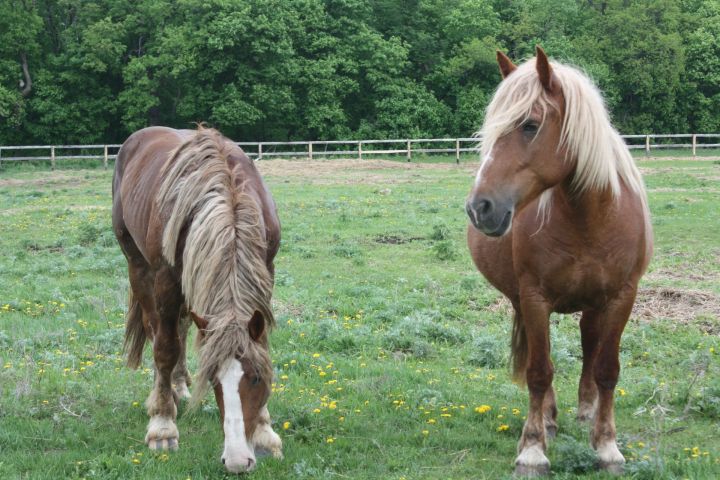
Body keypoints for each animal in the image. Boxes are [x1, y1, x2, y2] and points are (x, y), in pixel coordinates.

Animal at [111, 125, 282, 474]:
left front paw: (264, 432)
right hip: (138, 265)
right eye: (214, 380)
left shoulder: (266, 271)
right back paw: (164, 398)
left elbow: (260, 347)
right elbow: (165, 349)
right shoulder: (165, 279)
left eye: (256, 378)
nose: (236, 461)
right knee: (158, 331)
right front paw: (162, 427)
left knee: (182, 326)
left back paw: (179, 386)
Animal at [466, 47, 652, 474]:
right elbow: (539, 371)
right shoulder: (535, 298)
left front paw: (607, 446)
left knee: (589, 347)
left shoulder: (622, 297)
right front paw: (533, 449)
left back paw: (586, 412)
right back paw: (549, 420)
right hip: (525, 301)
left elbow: (607, 368)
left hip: (595, 303)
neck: (590, 219)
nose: (479, 208)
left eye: (530, 125)